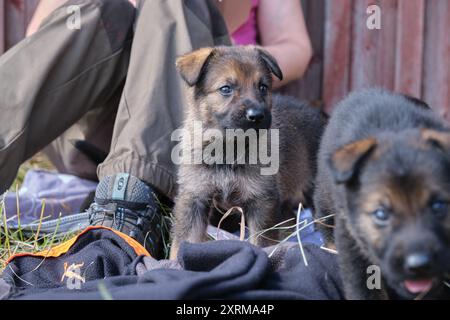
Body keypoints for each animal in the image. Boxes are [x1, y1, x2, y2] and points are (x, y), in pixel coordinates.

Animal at [170, 45, 326, 260]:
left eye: (263, 87)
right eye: (226, 89)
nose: (257, 116)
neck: (228, 149)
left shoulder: (261, 202)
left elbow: (262, 243)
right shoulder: (194, 198)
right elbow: (182, 243)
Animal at [312, 89, 450, 298]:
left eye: (438, 206)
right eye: (381, 214)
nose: (418, 265)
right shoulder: (352, 239)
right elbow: (364, 289)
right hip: (325, 193)